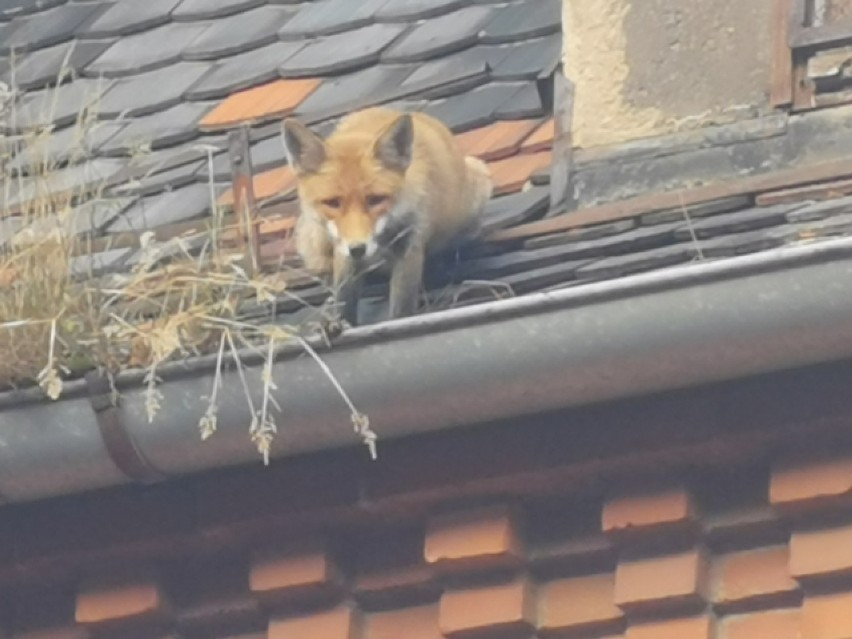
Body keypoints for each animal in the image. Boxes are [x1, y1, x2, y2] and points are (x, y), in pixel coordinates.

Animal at [282, 108, 492, 328]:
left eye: (375, 200)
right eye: (332, 203)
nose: (358, 249)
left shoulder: (410, 241)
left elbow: (402, 308)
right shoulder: (343, 249)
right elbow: (344, 296)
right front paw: (339, 324)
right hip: (316, 240)